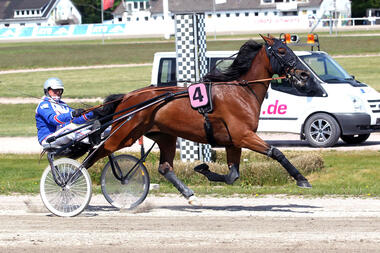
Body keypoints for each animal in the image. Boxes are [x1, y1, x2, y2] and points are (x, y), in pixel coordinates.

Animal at [87, 35, 314, 205]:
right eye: (282, 51)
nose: (304, 75)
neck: (241, 91)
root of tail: (127, 97)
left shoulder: (233, 141)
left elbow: (233, 175)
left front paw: (203, 169)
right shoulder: (243, 135)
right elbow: (276, 152)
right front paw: (302, 179)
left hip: (164, 136)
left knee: (165, 168)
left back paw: (190, 195)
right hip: (124, 134)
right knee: (95, 154)